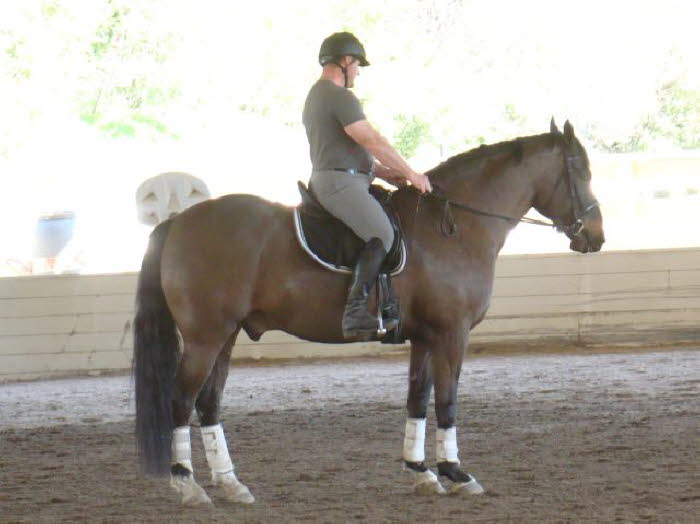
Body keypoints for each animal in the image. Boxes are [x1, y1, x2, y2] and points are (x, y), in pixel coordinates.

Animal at [134, 117, 604, 504]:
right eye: (580, 171)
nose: (595, 237)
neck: (451, 229)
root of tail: (180, 220)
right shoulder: (452, 334)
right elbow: (447, 401)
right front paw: (456, 473)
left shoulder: (425, 337)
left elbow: (417, 399)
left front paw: (420, 472)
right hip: (205, 337)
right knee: (181, 400)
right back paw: (188, 484)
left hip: (226, 334)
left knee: (208, 403)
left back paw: (231, 484)